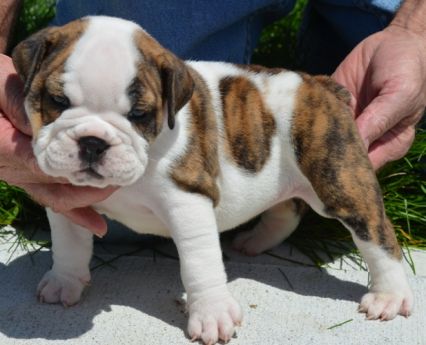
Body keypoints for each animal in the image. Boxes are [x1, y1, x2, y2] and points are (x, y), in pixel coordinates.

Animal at [12, 15, 412, 344]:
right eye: (57, 100)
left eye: (139, 114)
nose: (93, 142)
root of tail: (321, 85)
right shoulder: (66, 201)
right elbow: (69, 243)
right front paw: (64, 282)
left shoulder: (188, 201)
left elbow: (199, 263)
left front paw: (212, 316)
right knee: (286, 210)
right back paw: (255, 240)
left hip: (340, 179)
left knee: (377, 234)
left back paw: (388, 296)